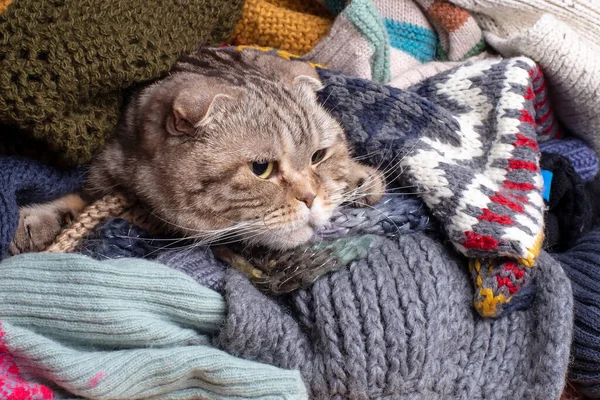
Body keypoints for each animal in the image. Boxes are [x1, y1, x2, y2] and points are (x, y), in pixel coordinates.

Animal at [9, 47, 386, 253]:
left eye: (317, 157)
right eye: (261, 169)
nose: (310, 198)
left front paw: (356, 178)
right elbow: (80, 198)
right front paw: (33, 221)